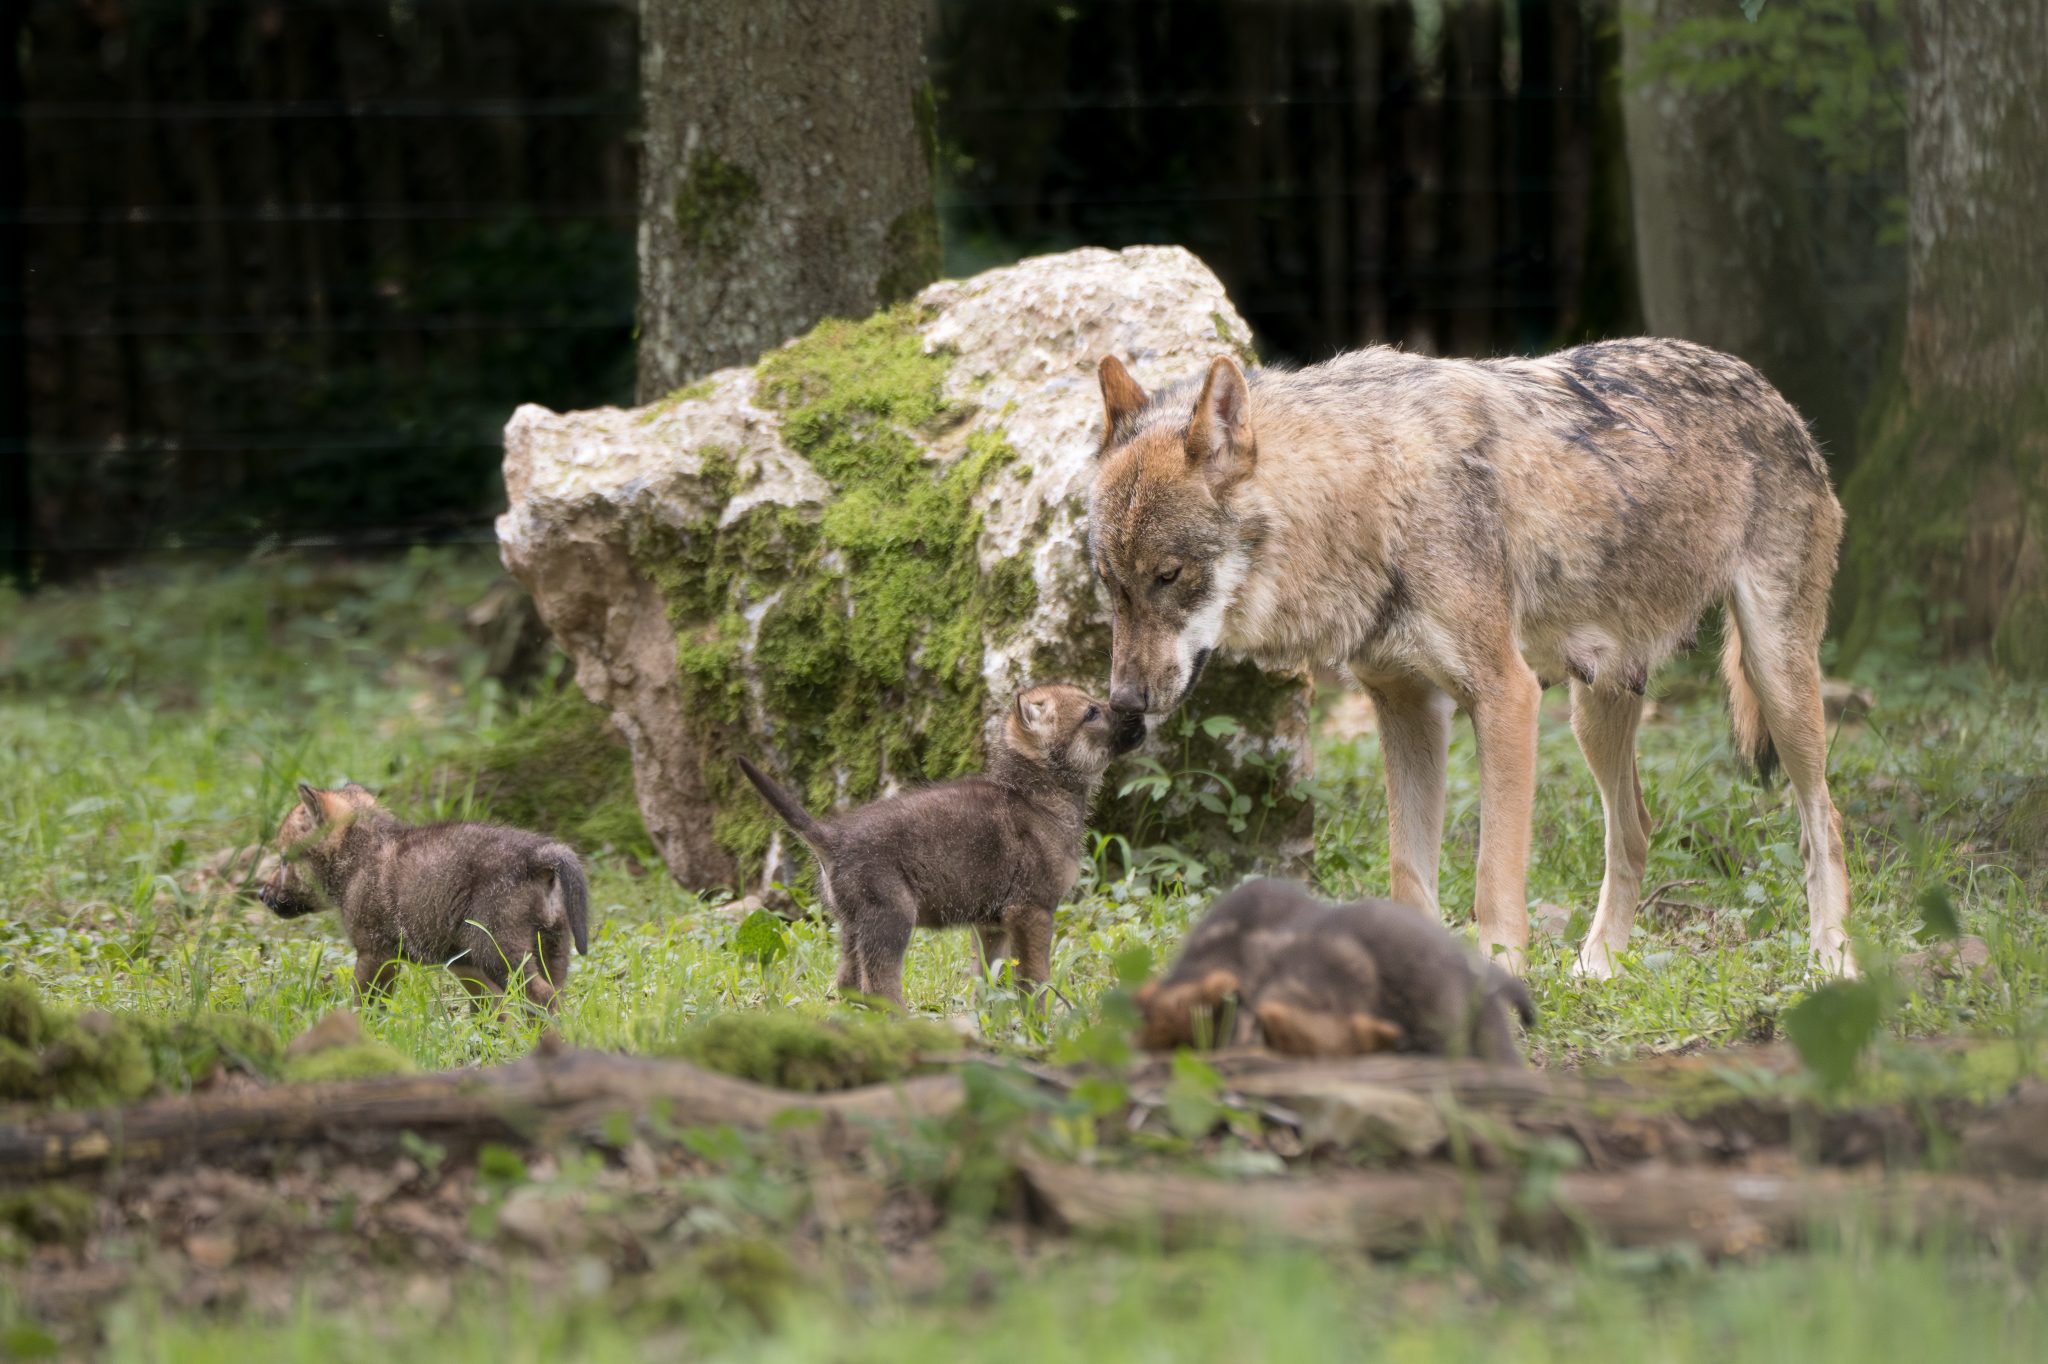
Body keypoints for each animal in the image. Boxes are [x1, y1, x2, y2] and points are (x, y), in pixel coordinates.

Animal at [259, 782, 589, 1012]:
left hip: (499, 950)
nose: (262, 894)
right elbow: (489, 1012)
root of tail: (537, 856)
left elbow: (366, 1004)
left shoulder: (375, 952)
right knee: (555, 995)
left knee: (541, 996)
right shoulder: (464, 965)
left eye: (284, 859)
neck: (359, 857)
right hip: (552, 948)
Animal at [737, 684, 1145, 1008]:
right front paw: (1037, 1025)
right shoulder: (1032, 910)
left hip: (852, 925)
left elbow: (987, 984)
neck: (1034, 797)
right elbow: (1034, 983)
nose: (1139, 713)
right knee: (878, 986)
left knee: (847, 983)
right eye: (1091, 712)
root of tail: (832, 838)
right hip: (891, 918)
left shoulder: (990, 925)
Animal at [1088, 339, 1852, 977]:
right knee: (1634, 830)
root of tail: (1765, 386)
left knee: (1823, 821)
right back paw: (1598, 967)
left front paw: (1502, 985)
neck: (1373, 495)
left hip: (1776, 679)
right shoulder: (1406, 708)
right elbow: (1407, 877)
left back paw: (1832, 964)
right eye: (1109, 582)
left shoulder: (1507, 697)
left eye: (1168, 576)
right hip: (1595, 706)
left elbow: (1493, 881)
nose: (1122, 704)